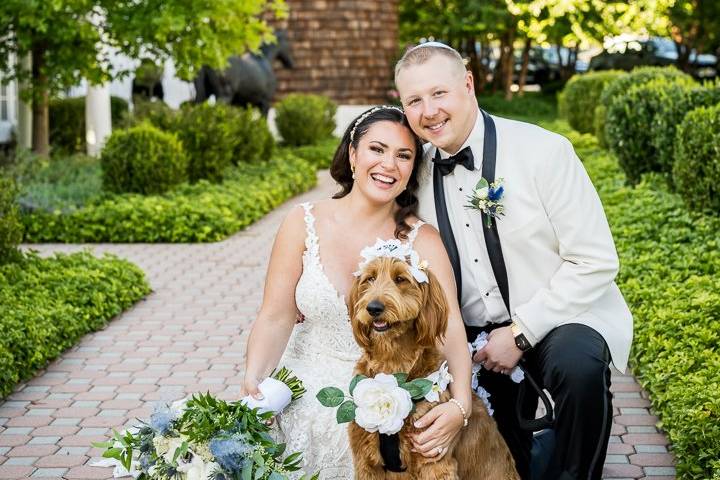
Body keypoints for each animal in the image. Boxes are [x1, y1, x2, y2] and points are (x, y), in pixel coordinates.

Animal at [348, 256, 516, 480]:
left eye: (400, 279)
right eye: (370, 278)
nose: (373, 308)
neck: (392, 363)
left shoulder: (433, 460)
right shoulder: (366, 461)